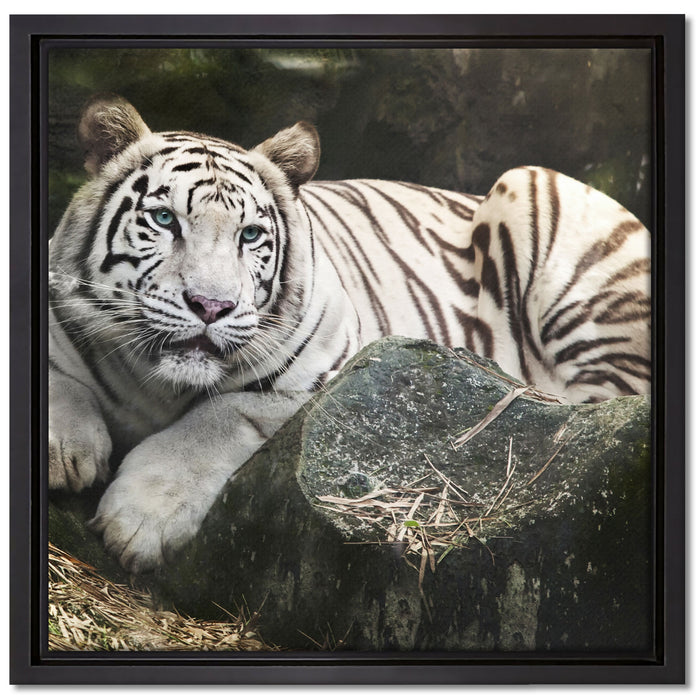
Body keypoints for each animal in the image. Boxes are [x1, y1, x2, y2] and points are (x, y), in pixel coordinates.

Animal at [48, 95, 651, 573]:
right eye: (165, 221)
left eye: (250, 236)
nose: (212, 306)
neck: (158, 383)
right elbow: (59, 379)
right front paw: (64, 451)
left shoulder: (320, 375)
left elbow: (219, 417)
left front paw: (139, 520)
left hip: (538, 193)